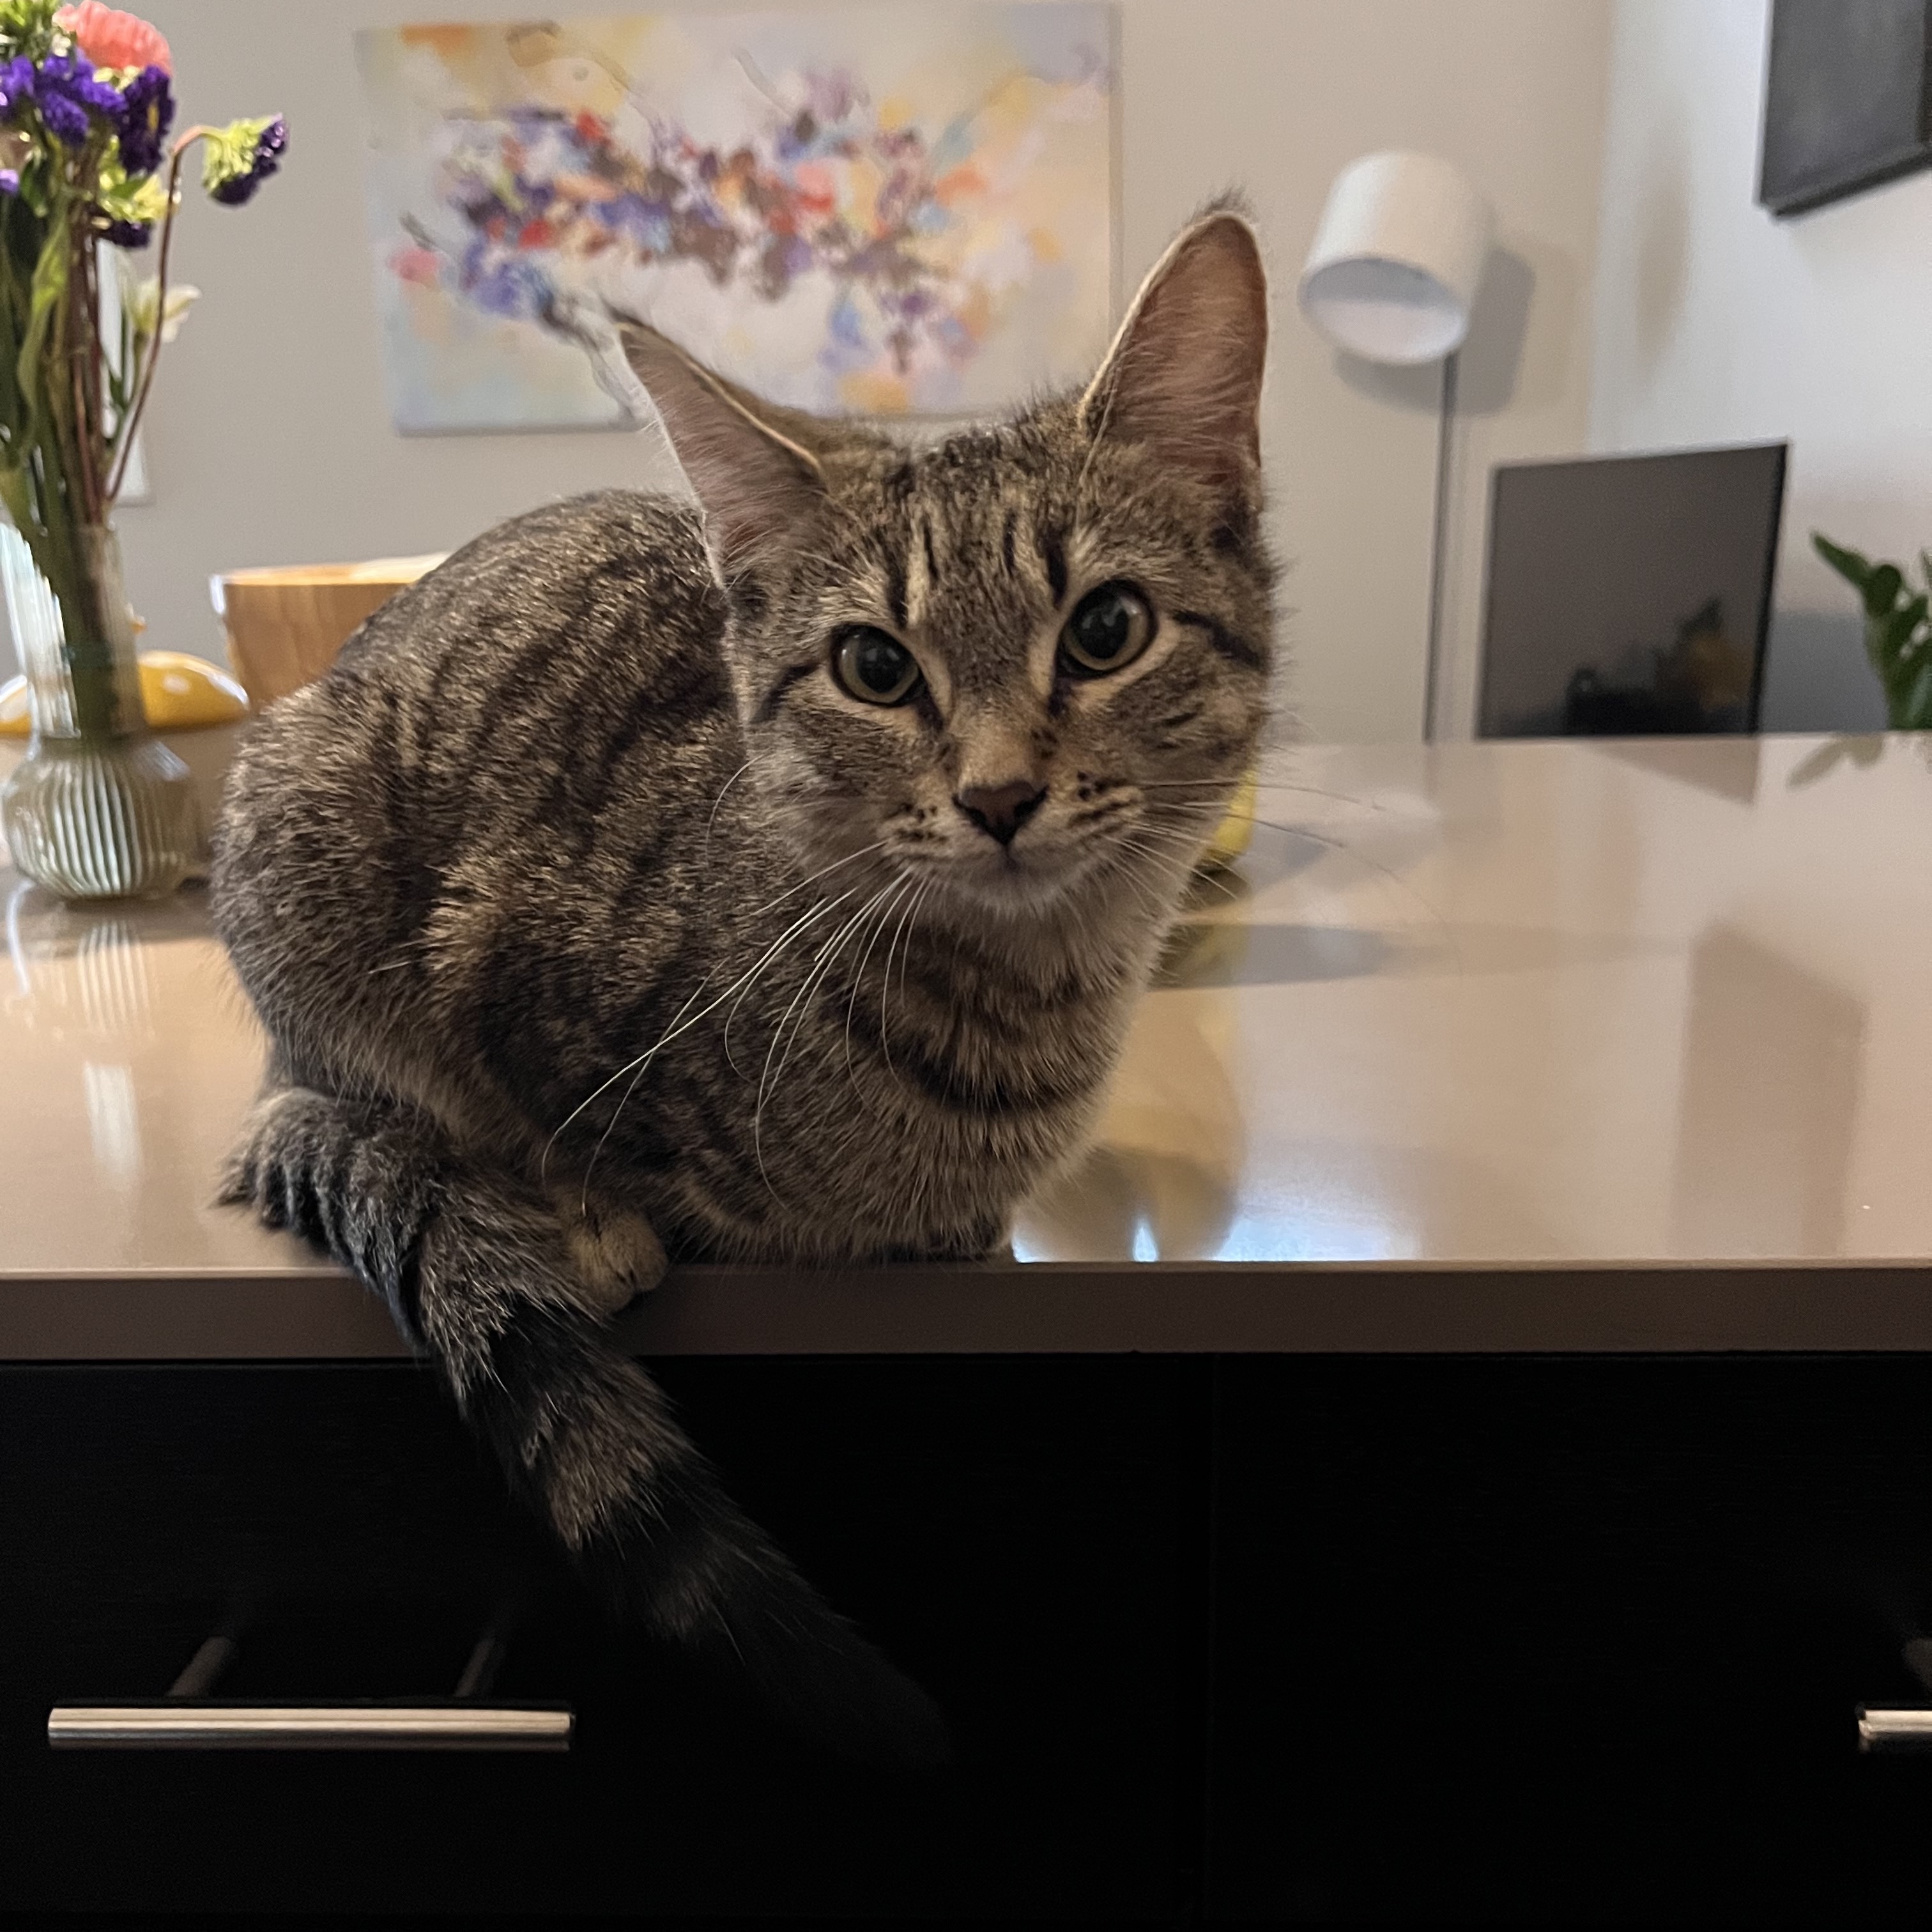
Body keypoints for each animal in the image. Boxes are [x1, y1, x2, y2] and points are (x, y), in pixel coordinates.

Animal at [211, 208, 1275, 1769]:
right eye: (875, 665)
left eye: (1105, 629)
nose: (999, 796)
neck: (1014, 1012)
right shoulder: (489, 952)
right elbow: (530, 1119)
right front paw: (587, 1211)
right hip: (299, 858)